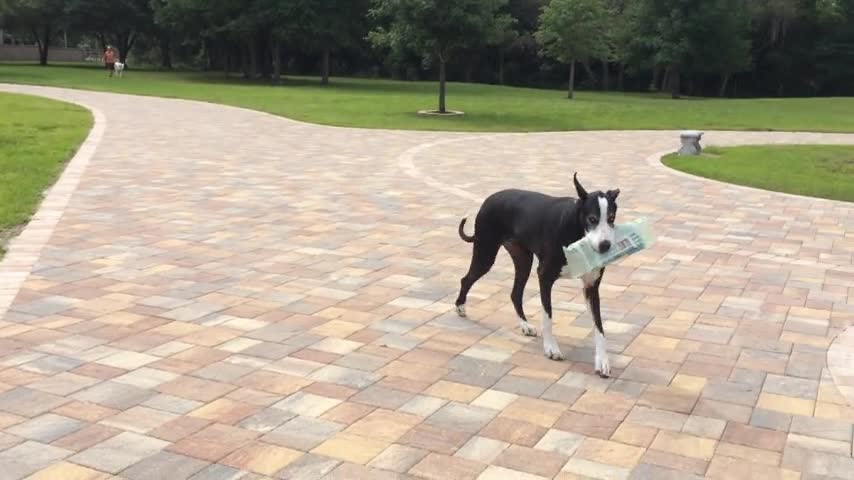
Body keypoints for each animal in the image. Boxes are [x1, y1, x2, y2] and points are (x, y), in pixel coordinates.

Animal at [454, 174, 620, 376]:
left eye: (611, 218)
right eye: (592, 219)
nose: (605, 245)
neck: (575, 228)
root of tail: (490, 198)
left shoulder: (591, 287)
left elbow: (599, 326)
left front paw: (602, 360)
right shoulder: (545, 277)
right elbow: (548, 316)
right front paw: (551, 348)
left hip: (523, 262)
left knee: (515, 294)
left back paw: (525, 325)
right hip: (485, 254)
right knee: (466, 279)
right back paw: (460, 306)